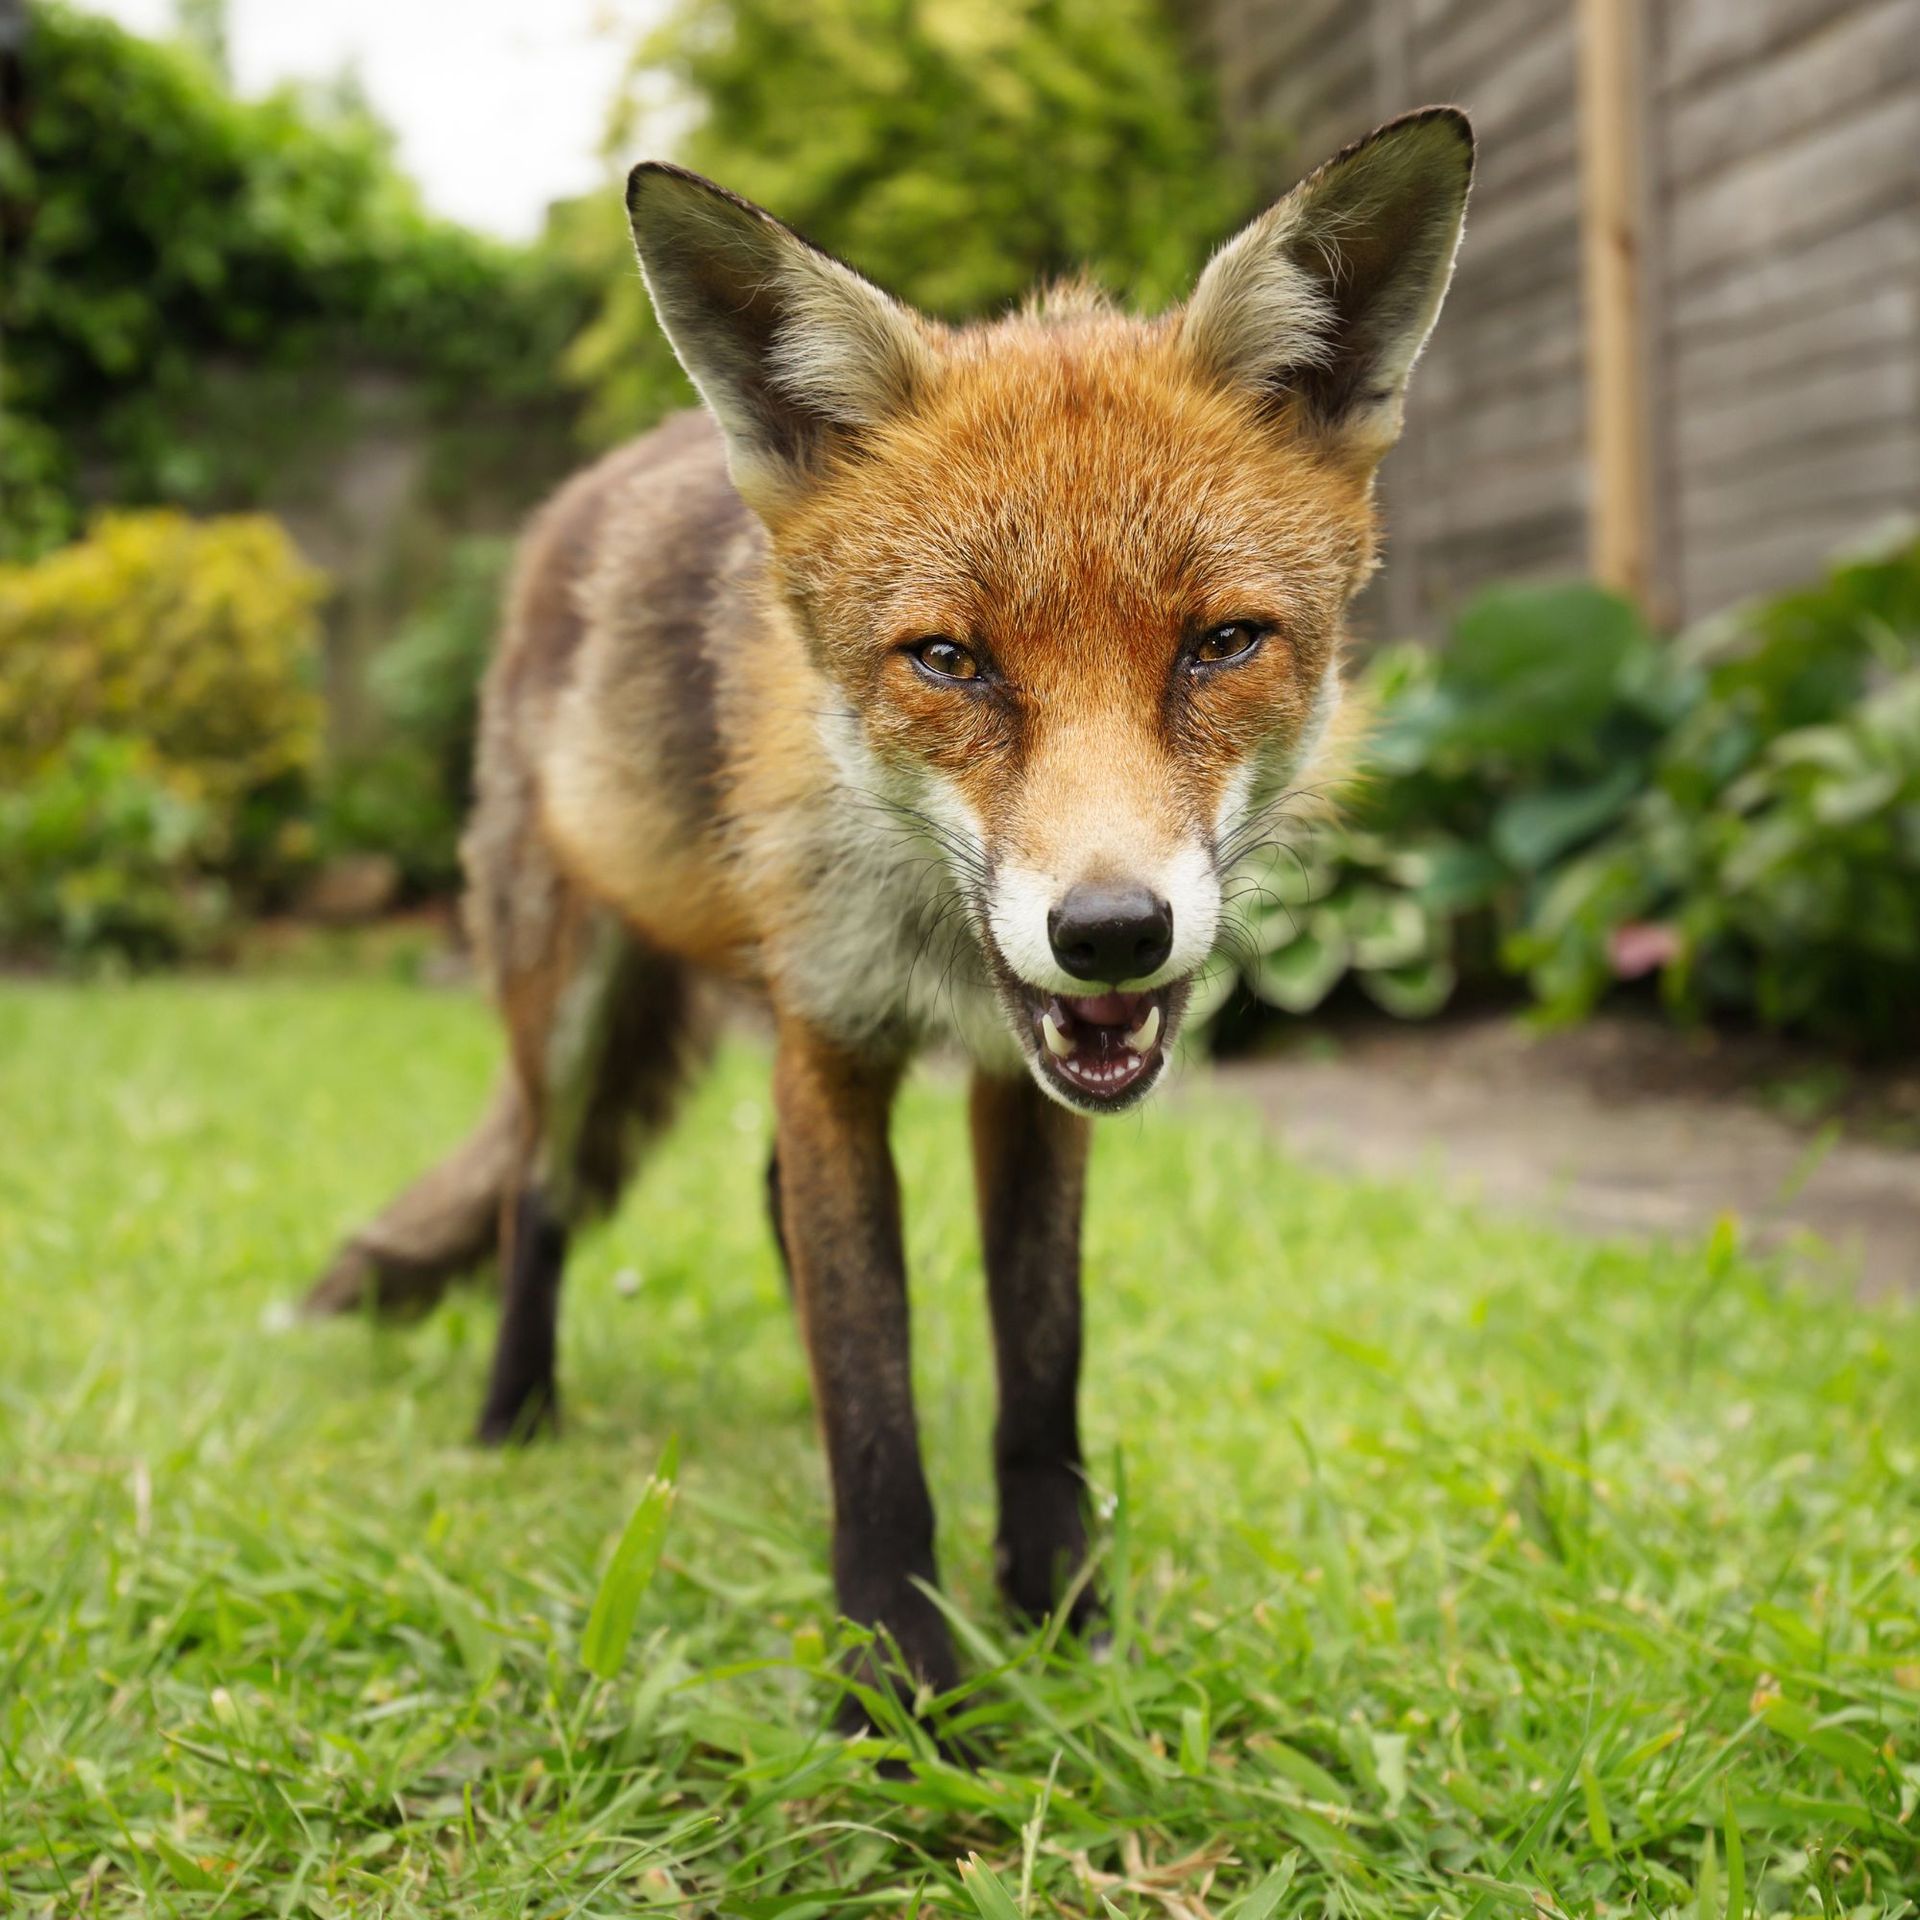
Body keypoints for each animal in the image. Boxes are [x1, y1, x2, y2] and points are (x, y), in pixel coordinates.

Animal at [307, 109, 1474, 1717]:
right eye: (949, 660)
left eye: (1223, 644)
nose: (1112, 932)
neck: (937, 951)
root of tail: (597, 482)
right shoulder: (831, 1045)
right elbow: (872, 1390)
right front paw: (899, 1682)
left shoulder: (1027, 1090)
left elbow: (1040, 1372)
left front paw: (1065, 1625)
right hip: (572, 994)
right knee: (540, 1197)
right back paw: (513, 1415)